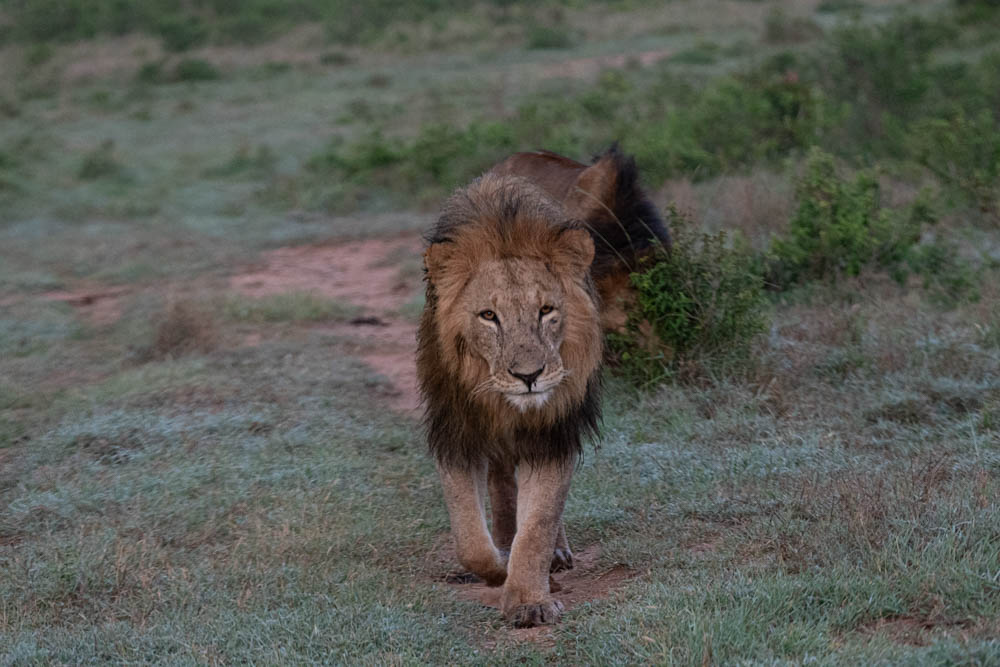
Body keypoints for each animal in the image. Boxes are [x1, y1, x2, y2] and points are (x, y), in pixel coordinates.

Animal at [417, 146, 668, 627]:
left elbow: (539, 523)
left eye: (547, 310)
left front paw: (530, 599)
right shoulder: (455, 430)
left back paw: (555, 553)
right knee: (501, 484)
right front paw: (498, 565)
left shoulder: (553, 432)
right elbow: (469, 537)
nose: (529, 376)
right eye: (488, 316)